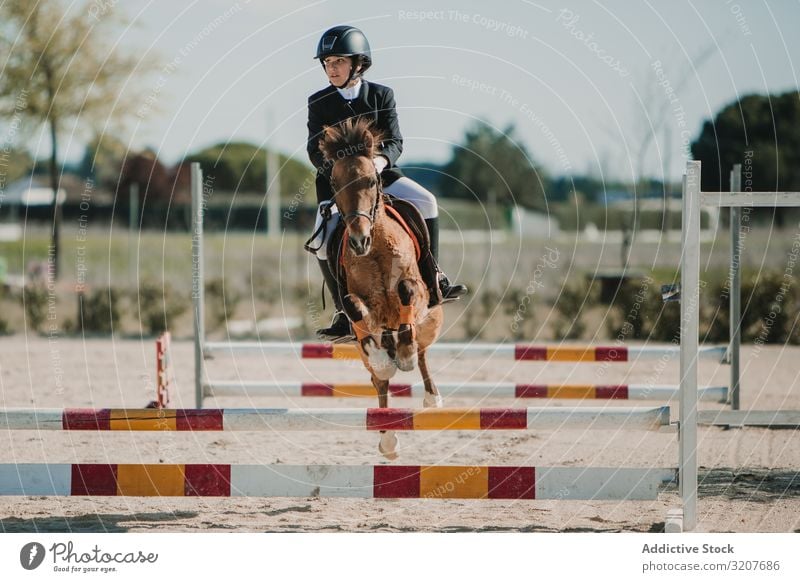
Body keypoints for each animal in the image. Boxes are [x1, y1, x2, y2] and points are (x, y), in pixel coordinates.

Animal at [318, 117, 444, 460]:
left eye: (371, 182)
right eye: (335, 184)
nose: (358, 240)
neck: (375, 250)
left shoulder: (418, 292)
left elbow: (407, 292)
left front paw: (406, 353)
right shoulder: (359, 305)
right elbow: (353, 306)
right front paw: (383, 359)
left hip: (433, 318)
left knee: (423, 350)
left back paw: (430, 394)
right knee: (379, 382)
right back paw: (388, 440)